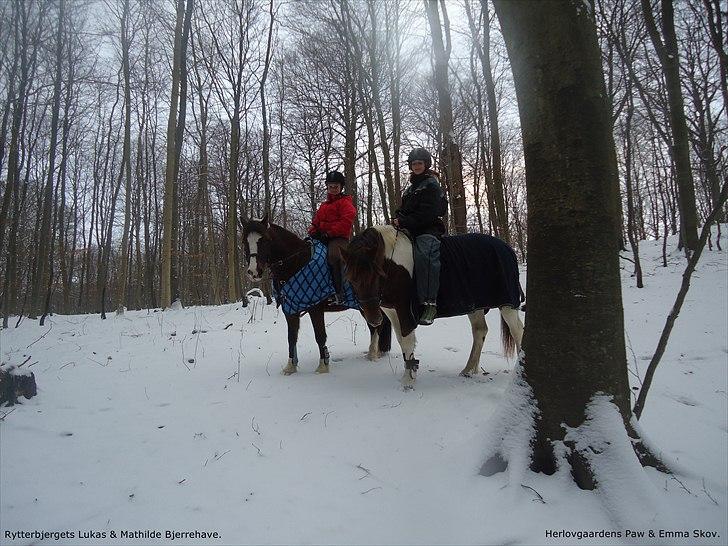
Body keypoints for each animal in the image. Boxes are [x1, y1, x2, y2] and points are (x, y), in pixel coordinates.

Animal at [243, 216, 392, 374]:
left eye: (264, 240)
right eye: (244, 241)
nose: (253, 272)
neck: (297, 262)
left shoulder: (315, 308)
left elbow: (320, 336)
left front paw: (323, 366)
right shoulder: (290, 309)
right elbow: (291, 337)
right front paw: (290, 367)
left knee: (377, 326)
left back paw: (372, 354)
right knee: (375, 325)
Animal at [342, 224, 524, 386]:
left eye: (377, 275)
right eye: (351, 279)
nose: (374, 319)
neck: (394, 266)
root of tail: (506, 248)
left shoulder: (404, 310)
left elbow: (407, 340)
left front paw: (408, 381)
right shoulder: (392, 311)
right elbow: (401, 340)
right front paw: (410, 373)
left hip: (507, 305)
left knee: (517, 331)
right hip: (475, 306)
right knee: (480, 331)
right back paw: (468, 370)